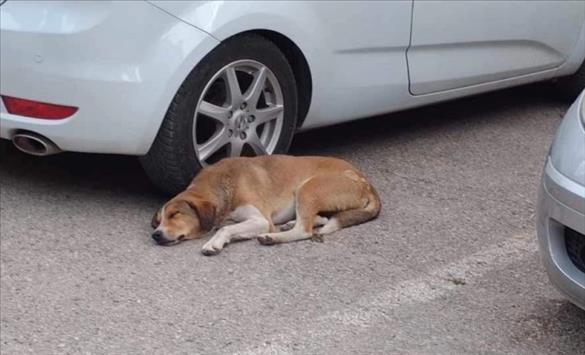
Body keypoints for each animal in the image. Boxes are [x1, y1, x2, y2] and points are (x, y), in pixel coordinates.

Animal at [148, 156, 380, 256]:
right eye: (158, 221)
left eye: (176, 214)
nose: (156, 235)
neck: (222, 184)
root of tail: (365, 182)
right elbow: (229, 227)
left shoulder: (261, 220)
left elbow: (226, 228)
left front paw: (214, 242)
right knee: (318, 219)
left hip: (307, 188)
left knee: (304, 230)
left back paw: (273, 237)